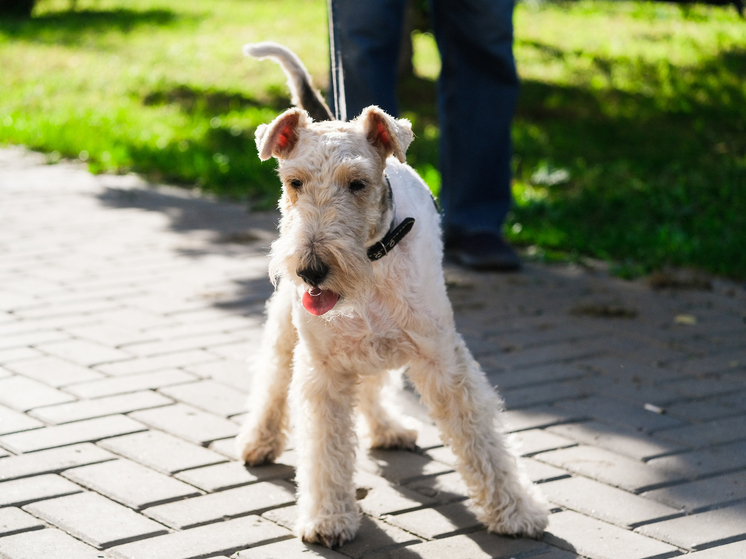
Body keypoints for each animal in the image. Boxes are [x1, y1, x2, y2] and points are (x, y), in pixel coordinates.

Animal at [235, 41, 548, 548]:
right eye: (294, 182)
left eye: (357, 183)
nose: (312, 270)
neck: (372, 262)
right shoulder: (322, 368)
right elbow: (325, 450)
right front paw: (329, 519)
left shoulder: (442, 359)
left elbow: (482, 440)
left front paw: (516, 510)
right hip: (290, 325)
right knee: (273, 374)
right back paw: (259, 441)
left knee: (373, 386)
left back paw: (388, 428)